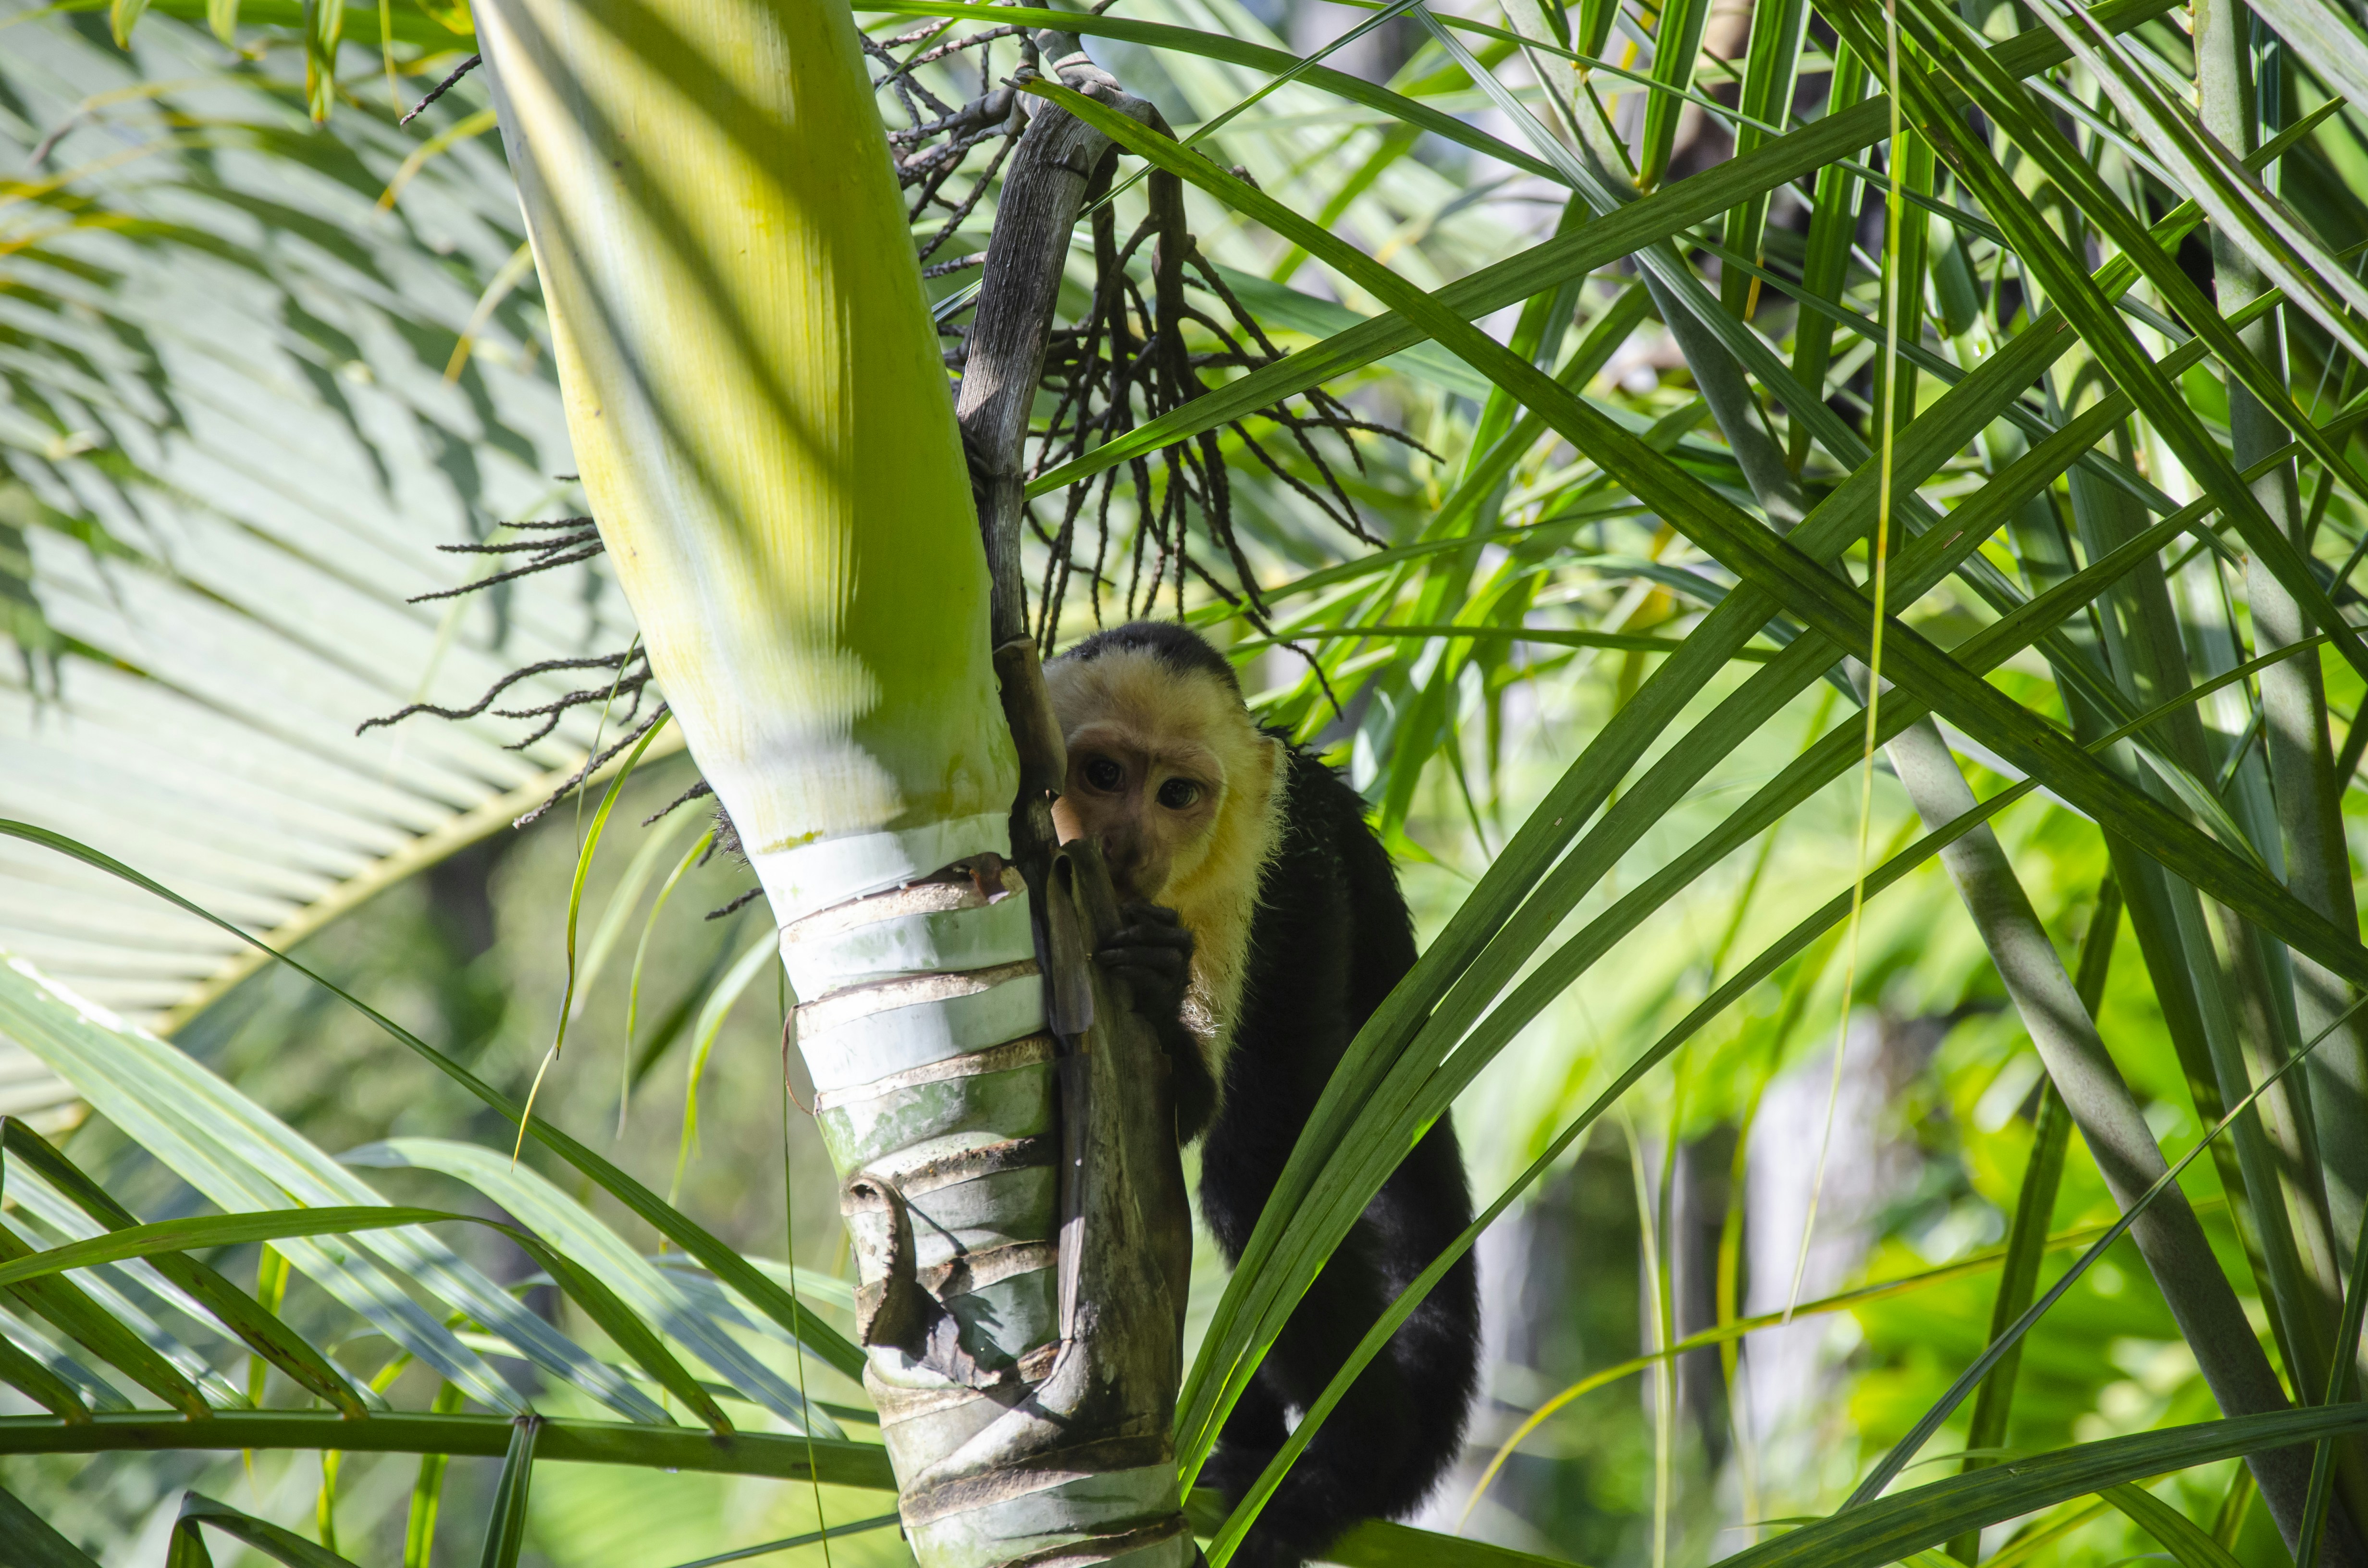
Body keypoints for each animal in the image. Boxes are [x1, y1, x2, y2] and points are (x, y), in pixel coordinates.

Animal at [1043, 619, 1480, 1568]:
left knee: (1259, 1176)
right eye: (1103, 775)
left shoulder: (1276, 863)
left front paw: (1162, 992)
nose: (1130, 844)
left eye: (1176, 793)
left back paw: (1347, 1465)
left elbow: (1213, 1132)